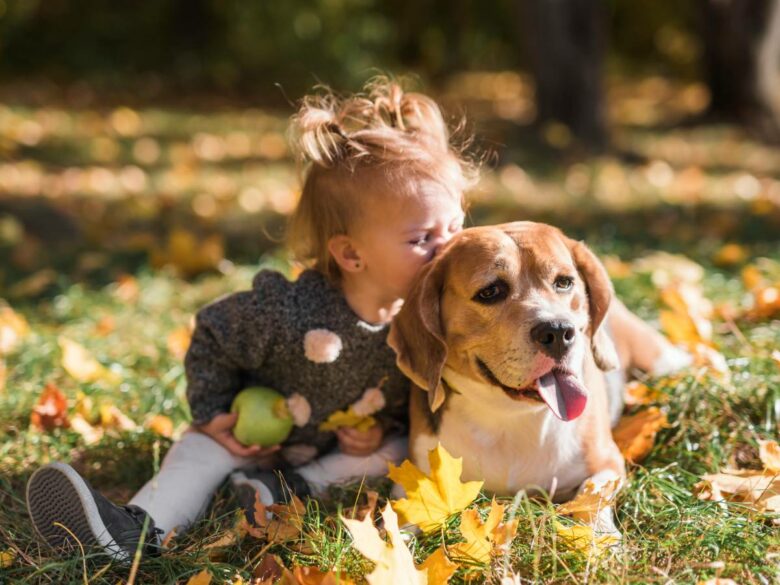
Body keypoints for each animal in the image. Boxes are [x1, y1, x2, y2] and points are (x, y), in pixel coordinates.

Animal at [390, 221, 684, 532]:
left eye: (564, 282)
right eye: (490, 291)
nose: (558, 332)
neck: (510, 416)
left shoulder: (608, 462)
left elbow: (590, 495)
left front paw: (601, 536)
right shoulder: (415, 472)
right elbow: (410, 509)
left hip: (660, 358)